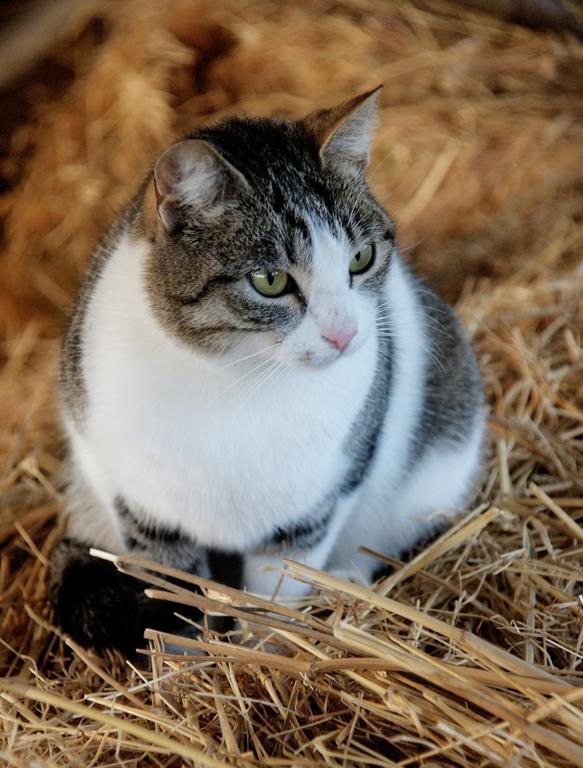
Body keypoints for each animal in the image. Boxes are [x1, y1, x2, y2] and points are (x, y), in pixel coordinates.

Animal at [51, 88, 484, 656]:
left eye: (362, 257)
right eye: (271, 281)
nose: (344, 334)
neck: (236, 378)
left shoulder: (314, 506)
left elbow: (279, 591)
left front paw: (265, 653)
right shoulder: (140, 502)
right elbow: (171, 596)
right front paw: (183, 664)